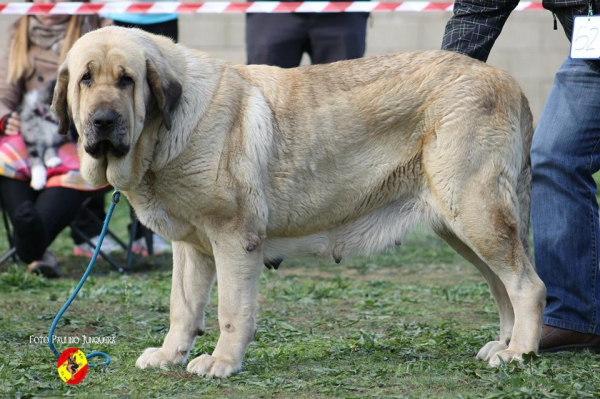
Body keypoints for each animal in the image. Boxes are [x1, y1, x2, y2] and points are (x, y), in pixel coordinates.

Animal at [54, 25, 548, 378]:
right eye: (85, 80)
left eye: (127, 81)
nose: (103, 120)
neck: (166, 130)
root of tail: (511, 84)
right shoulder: (192, 248)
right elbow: (183, 307)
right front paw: (170, 354)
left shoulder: (234, 239)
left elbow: (231, 310)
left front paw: (221, 362)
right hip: (462, 225)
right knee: (503, 285)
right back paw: (504, 345)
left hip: (476, 212)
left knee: (528, 285)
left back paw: (519, 352)